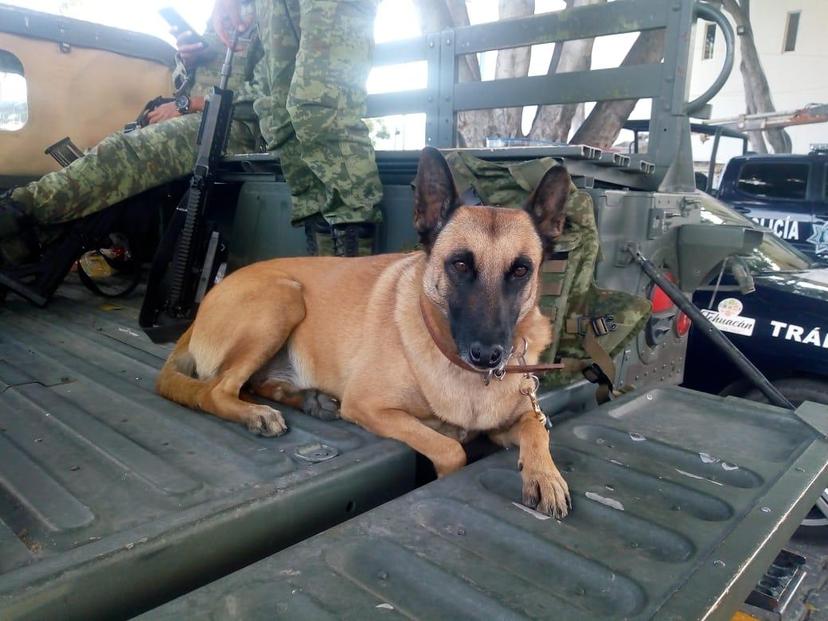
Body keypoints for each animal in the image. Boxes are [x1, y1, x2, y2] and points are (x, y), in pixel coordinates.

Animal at [160, 148, 576, 516]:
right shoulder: (369, 406)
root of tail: (201, 311)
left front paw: (546, 476)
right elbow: (451, 450)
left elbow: (536, 426)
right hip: (283, 298)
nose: (488, 356)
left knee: (254, 384)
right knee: (215, 391)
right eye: (459, 264)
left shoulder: (512, 419)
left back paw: (310, 400)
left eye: (521, 270)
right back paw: (257, 413)